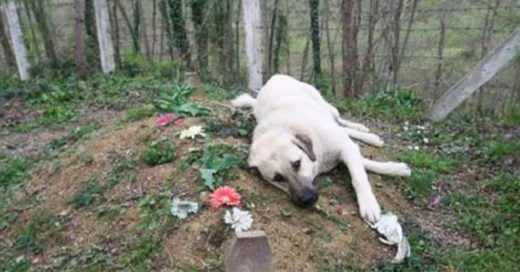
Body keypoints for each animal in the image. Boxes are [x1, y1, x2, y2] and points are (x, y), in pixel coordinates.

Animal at [232, 74, 410, 223]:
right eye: (278, 178)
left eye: (297, 163)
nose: (306, 199)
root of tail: (274, 78)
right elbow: (360, 162)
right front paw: (397, 168)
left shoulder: (344, 147)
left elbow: (358, 176)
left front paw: (369, 203)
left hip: (327, 106)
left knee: (341, 122)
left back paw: (366, 133)